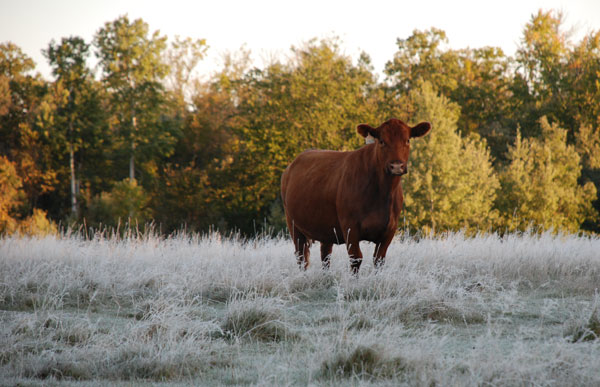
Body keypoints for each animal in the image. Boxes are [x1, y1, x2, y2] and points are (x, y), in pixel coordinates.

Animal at [278, 118, 428, 272]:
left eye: (407, 140)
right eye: (381, 141)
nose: (397, 166)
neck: (382, 193)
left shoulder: (389, 229)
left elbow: (379, 259)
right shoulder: (350, 226)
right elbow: (356, 258)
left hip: (325, 227)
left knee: (325, 255)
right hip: (293, 224)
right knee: (301, 256)